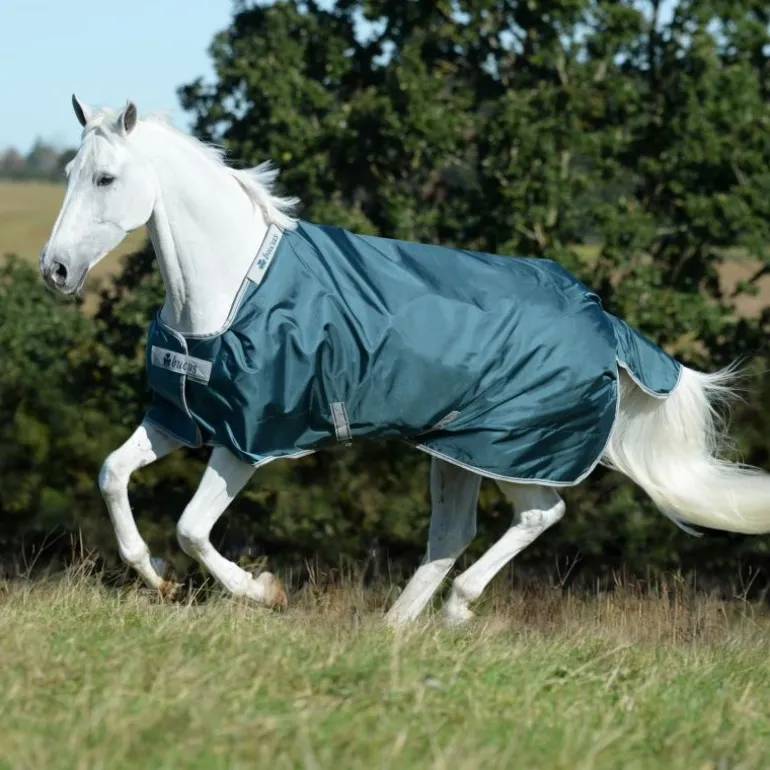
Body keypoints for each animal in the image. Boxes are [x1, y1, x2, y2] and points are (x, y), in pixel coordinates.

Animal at [39, 95, 770, 627]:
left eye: (106, 177)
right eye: (69, 174)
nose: (56, 271)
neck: (230, 290)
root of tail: (603, 322)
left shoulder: (249, 440)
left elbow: (193, 528)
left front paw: (265, 591)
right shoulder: (182, 418)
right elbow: (112, 475)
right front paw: (157, 577)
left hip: (512, 448)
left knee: (540, 515)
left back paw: (453, 611)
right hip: (457, 451)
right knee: (451, 532)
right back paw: (393, 629)